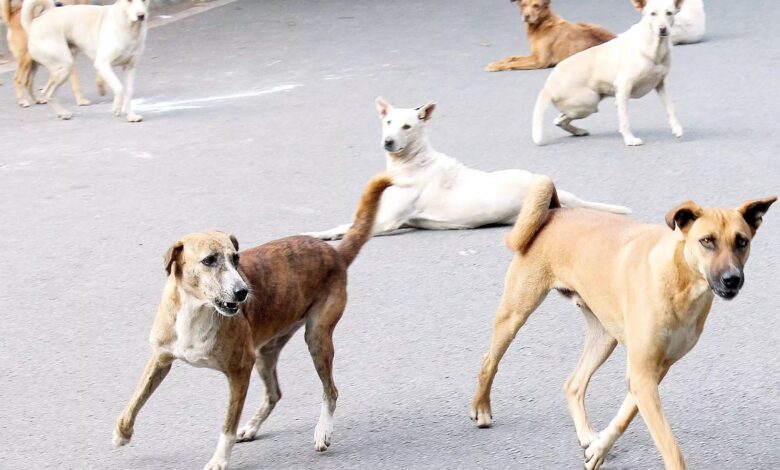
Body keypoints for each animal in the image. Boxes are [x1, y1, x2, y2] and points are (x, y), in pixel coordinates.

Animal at [112, 174, 394, 470]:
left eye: (236, 258)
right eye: (209, 260)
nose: (243, 292)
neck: (197, 309)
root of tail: (335, 254)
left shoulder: (239, 371)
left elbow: (227, 425)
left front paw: (220, 459)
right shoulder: (161, 358)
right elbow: (135, 399)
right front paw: (122, 432)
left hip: (316, 337)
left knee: (331, 390)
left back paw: (322, 432)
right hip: (265, 352)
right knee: (275, 393)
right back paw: (252, 427)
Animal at [304, 97, 630, 241]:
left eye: (407, 126)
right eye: (388, 122)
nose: (388, 141)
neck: (413, 161)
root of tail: (561, 193)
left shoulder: (385, 221)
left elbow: (346, 227)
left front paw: (320, 234)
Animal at [470, 176, 775, 469]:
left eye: (741, 241)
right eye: (707, 241)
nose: (732, 279)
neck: (680, 281)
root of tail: (556, 210)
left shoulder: (652, 372)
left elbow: (625, 416)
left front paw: (599, 449)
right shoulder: (642, 374)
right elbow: (670, 446)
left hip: (604, 338)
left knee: (573, 384)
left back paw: (585, 434)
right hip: (515, 314)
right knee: (489, 360)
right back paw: (481, 407)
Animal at [485, 0, 614, 72]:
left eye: (536, 5)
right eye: (523, 5)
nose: (526, 16)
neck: (541, 25)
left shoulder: (539, 61)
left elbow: (514, 62)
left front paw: (496, 66)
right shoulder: (534, 55)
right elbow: (512, 57)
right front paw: (498, 62)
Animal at [532, 0, 684, 146]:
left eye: (669, 13)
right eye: (653, 13)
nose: (663, 29)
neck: (654, 46)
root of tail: (548, 86)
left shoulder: (660, 85)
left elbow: (670, 109)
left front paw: (676, 128)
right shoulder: (624, 87)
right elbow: (624, 119)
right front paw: (629, 140)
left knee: (559, 120)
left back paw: (578, 131)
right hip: (589, 102)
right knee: (561, 119)